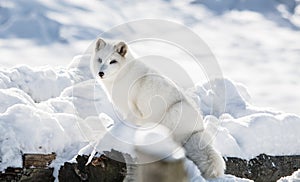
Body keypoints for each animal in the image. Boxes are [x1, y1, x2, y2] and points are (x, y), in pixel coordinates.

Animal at [91, 37, 225, 178]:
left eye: (113, 61)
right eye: (100, 59)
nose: (101, 73)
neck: (123, 74)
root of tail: (198, 129)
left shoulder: (132, 108)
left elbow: (128, 122)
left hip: (174, 111)